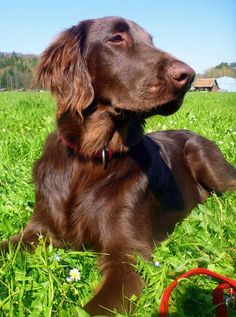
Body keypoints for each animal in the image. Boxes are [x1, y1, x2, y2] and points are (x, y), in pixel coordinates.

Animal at [2, 16, 236, 314]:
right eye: (116, 38)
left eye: (150, 41)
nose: (188, 75)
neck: (92, 156)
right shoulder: (39, 232)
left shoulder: (127, 256)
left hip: (202, 155)